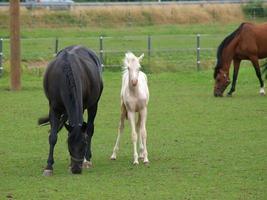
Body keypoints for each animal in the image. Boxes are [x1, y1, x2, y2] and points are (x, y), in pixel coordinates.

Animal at [38, 45, 103, 175]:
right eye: (69, 144)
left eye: (84, 144)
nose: (76, 169)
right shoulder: (54, 108)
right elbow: (53, 137)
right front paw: (48, 167)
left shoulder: (81, 107)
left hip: (94, 105)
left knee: (90, 128)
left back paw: (87, 160)